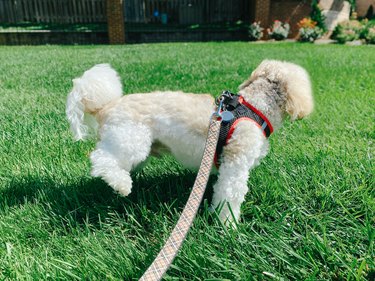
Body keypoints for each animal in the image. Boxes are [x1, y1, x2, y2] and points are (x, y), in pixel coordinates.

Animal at [65, 60, 314, 223]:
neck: (254, 108)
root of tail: (105, 107)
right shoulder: (235, 164)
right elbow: (230, 195)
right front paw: (228, 226)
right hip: (130, 141)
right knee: (101, 159)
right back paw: (122, 185)